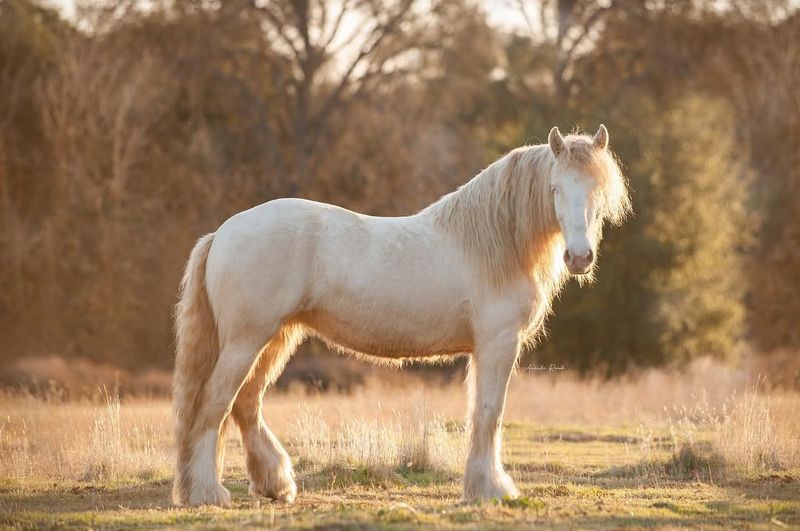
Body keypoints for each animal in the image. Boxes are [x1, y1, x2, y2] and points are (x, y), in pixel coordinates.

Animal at [173, 124, 632, 508]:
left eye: (597, 190)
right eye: (555, 188)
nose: (579, 258)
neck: (494, 243)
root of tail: (222, 232)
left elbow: (480, 414)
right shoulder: (498, 342)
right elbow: (489, 413)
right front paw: (492, 489)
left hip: (275, 338)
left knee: (246, 404)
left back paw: (275, 485)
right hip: (247, 340)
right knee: (215, 403)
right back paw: (208, 493)